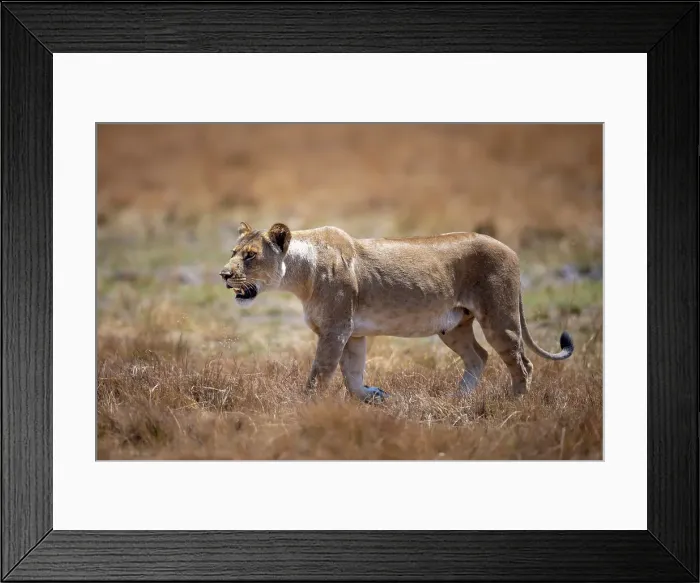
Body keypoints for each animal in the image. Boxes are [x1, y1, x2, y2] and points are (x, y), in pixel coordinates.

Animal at [219, 221, 573, 402]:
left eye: (250, 256)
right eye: (234, 252)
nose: (224, 274)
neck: (300, 273)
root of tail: (510, 249)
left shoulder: (336, 329)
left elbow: (320, 372)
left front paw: (305, 407)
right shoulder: (353, 333)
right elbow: (352, 374)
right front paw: (372, 395)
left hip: (499, 318)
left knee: (522, 362)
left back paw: (516, 405)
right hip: (453, 326)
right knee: (479, 357)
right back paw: (457, 399)